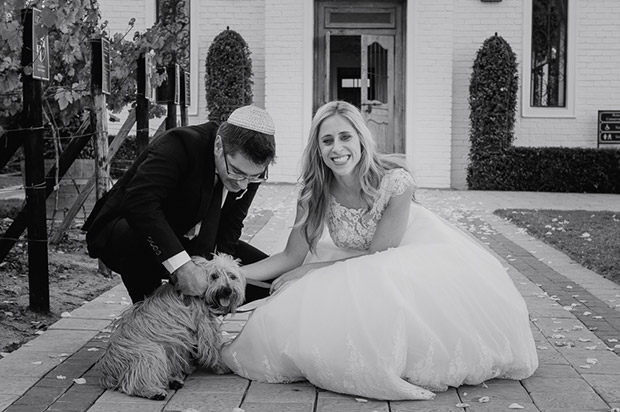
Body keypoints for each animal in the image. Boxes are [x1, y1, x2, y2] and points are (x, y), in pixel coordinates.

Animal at [97, 254, 245, 400]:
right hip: (151, 353)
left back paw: (172, 381)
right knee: (135, 380)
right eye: (214, 276)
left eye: (232, 276)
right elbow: (213, 348)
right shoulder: (205, 329)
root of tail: (108, 372)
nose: (227, 290)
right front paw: (224, 365)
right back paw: (153, 391)